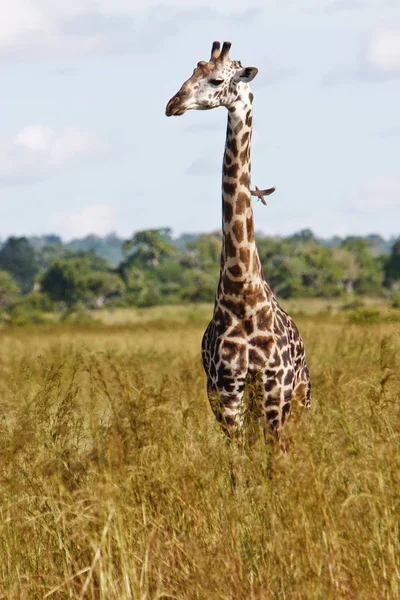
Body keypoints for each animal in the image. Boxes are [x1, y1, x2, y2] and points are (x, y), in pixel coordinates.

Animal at [164, 42, 310, 442]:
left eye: (216, 80)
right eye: (189, 74)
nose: (173, 104)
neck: (241, 288)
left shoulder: (276, 388)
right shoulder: (225, 391)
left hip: (301, 395)